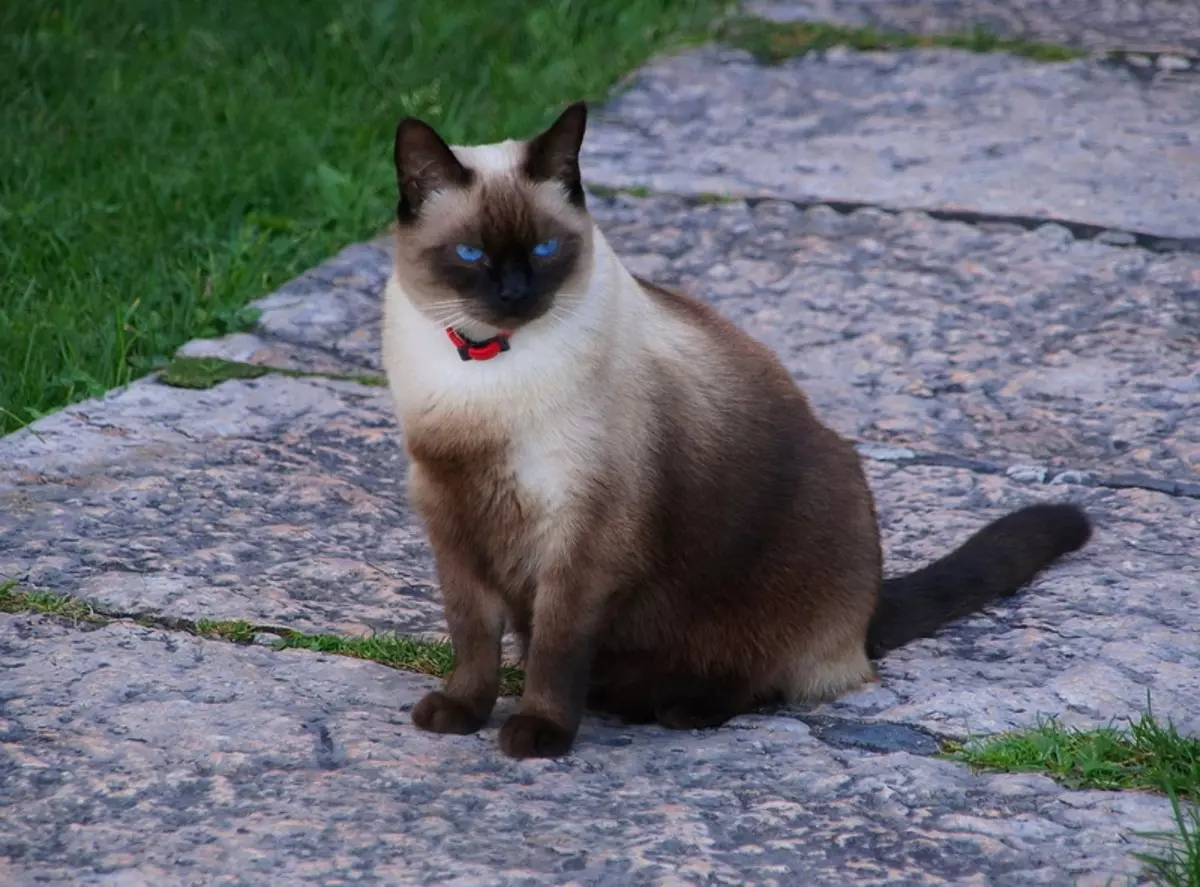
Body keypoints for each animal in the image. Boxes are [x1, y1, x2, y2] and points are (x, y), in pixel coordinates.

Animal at [379, 102, 1094, 758]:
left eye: (545, 250)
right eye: (470, 253)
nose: (515, 295)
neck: (485, 369)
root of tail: (866, 610)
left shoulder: (580, 534)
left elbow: (555, 650)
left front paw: (538, 734)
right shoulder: (452, 518)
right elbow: (473, 637)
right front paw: (459, 714)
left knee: (761, 679)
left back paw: (679, 706)